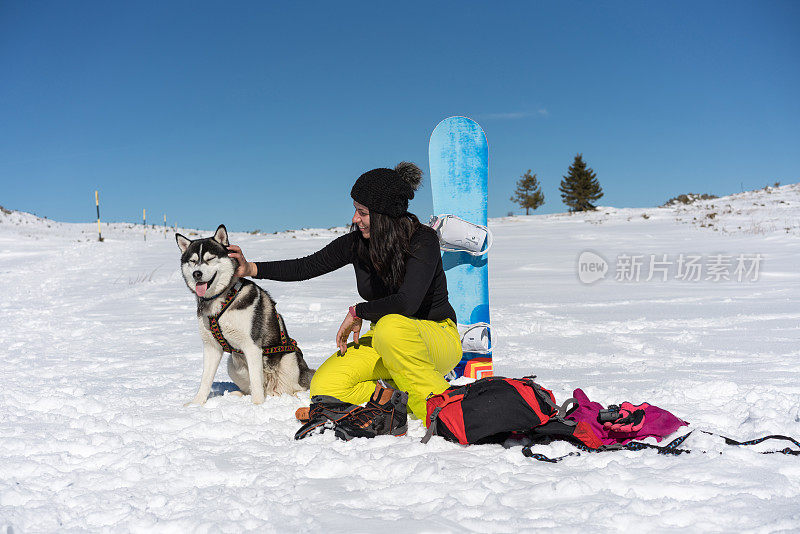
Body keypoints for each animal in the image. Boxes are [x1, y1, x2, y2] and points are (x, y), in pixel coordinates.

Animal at [177, 225, 314, 406]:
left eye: (210, 258)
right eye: (192, 261)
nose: (197, 274)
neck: (222, 299)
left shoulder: (252, 346)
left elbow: (256, 381)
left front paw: (257, 405)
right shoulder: (211, 347)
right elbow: (205, 380)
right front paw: (196, 403)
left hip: (289, 360)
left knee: (294, 387)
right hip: (232, 364)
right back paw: (238, 394)